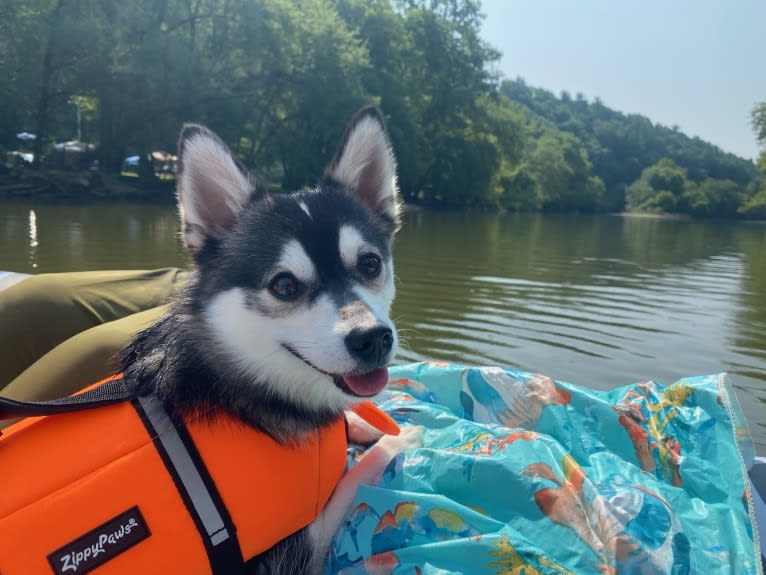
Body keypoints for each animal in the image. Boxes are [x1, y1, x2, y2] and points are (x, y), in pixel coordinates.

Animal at [121, 107, 424, 572]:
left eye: (371, 264)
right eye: (284, 286)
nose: (372, 339)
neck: (236, 383)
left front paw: (360, 424)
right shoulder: (292, 551)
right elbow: (358, 472)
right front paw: (400, 438)